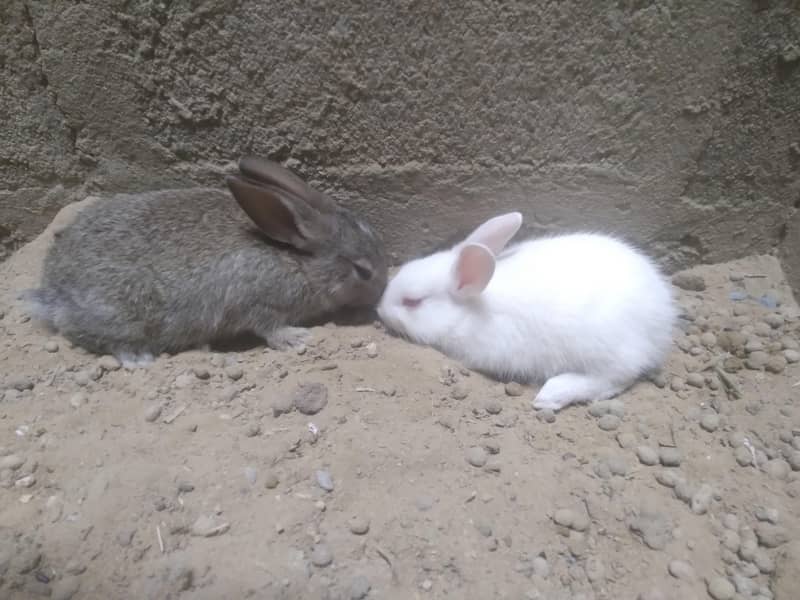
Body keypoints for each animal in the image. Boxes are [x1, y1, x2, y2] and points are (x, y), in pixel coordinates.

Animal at [22, 156, 388, 368]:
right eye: (362, 271)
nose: (381, 293)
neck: (295, 261)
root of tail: (54, 293)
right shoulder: (257, 301)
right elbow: (268, 328)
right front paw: (298, 338)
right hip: (117, 314)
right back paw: (138, 357)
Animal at [377, 212, 676, 412]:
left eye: (412, 302)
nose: (379, 310)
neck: (471, 310)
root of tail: (662, 314)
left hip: (604, 349)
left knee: (618, 376)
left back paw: (550, 395)